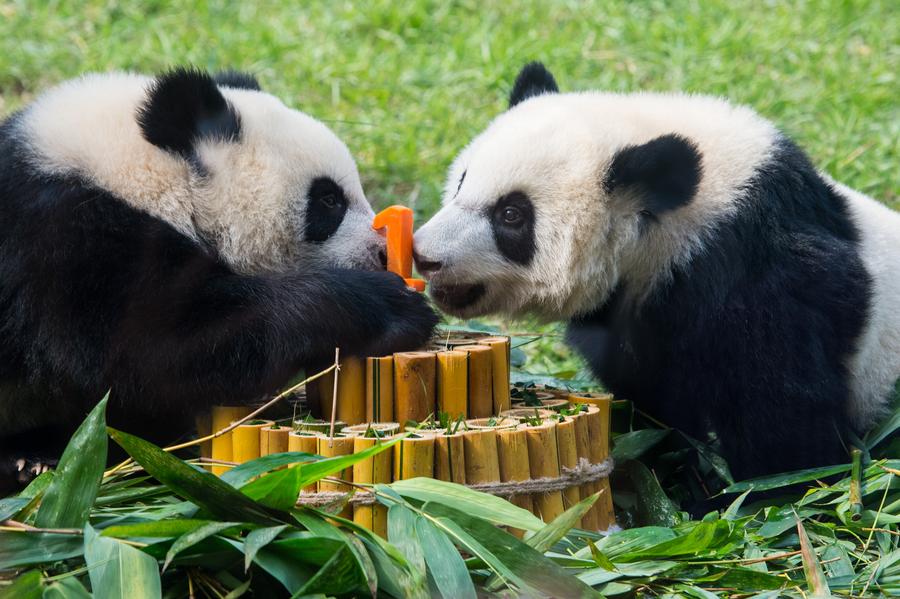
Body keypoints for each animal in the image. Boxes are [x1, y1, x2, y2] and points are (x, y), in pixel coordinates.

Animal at [0, 68, 437, 489]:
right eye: (328, 199)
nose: (383, 253)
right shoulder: (68, 244)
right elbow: (158, 349)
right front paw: (391, 308)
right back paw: (29, 461)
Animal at [414, 62, 900, 481]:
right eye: (461, 182)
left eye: (512, 215)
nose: (424, 255)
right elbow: (656, 401)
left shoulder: (759, 274)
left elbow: (783, 415)